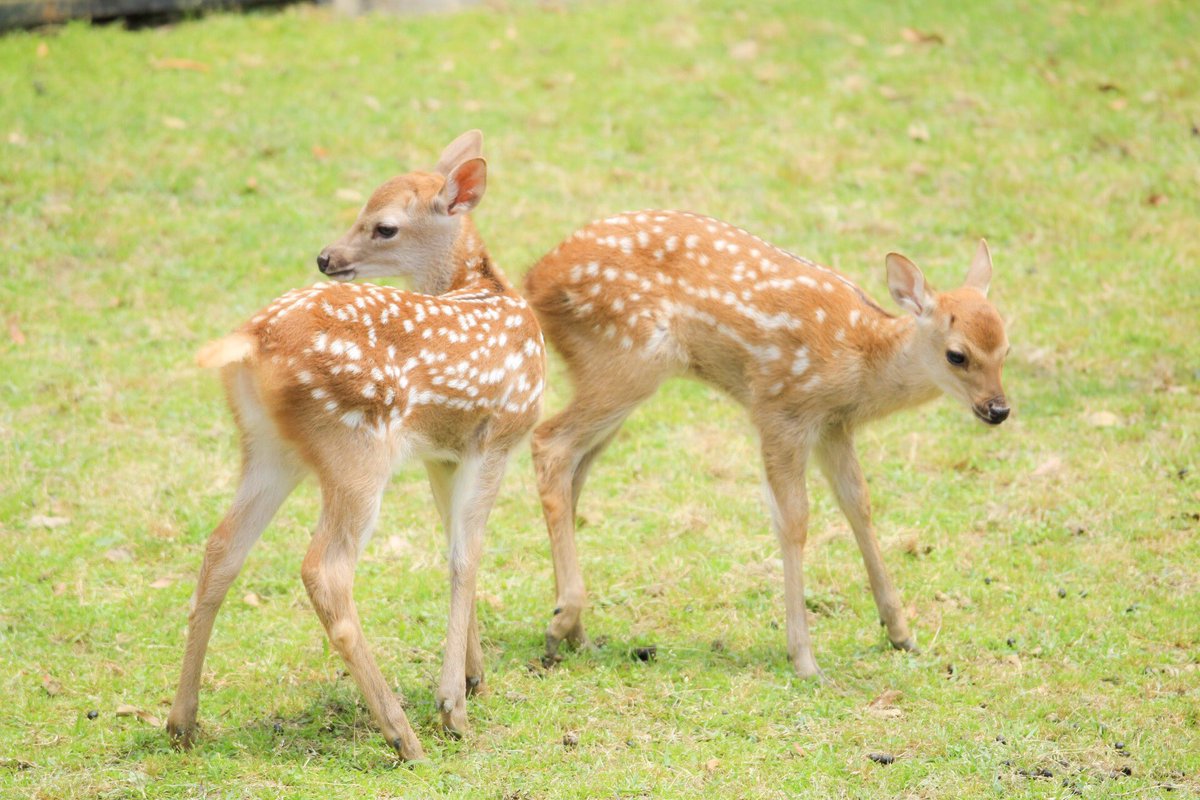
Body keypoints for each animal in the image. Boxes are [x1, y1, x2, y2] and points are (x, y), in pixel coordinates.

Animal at [165, 131, 546, 759]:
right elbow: (467, 557)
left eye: (384, 226)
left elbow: (453, 548)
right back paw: (402, 734)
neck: (484, 288)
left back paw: (181, 722)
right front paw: (454, 707)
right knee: (326, 571)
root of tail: (249, 341)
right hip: (354, 449)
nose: (326, 257)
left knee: (221, 550)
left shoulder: (443, 453)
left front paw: (473, 676)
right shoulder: (499, 435)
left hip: (270, 450)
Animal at [523, 210, 1009, 678]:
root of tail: (534, 280)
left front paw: (902, 634)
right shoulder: (781, 409)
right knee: (550, 443)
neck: (863, 360)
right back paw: (561, 624)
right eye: (957, 354)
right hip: (627, 359)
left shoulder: (834, 426)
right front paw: (805, 660)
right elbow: (794, 520)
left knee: (575, 472)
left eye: (1006, 348)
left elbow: (858, 504)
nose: (998, 409)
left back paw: (575, 631)